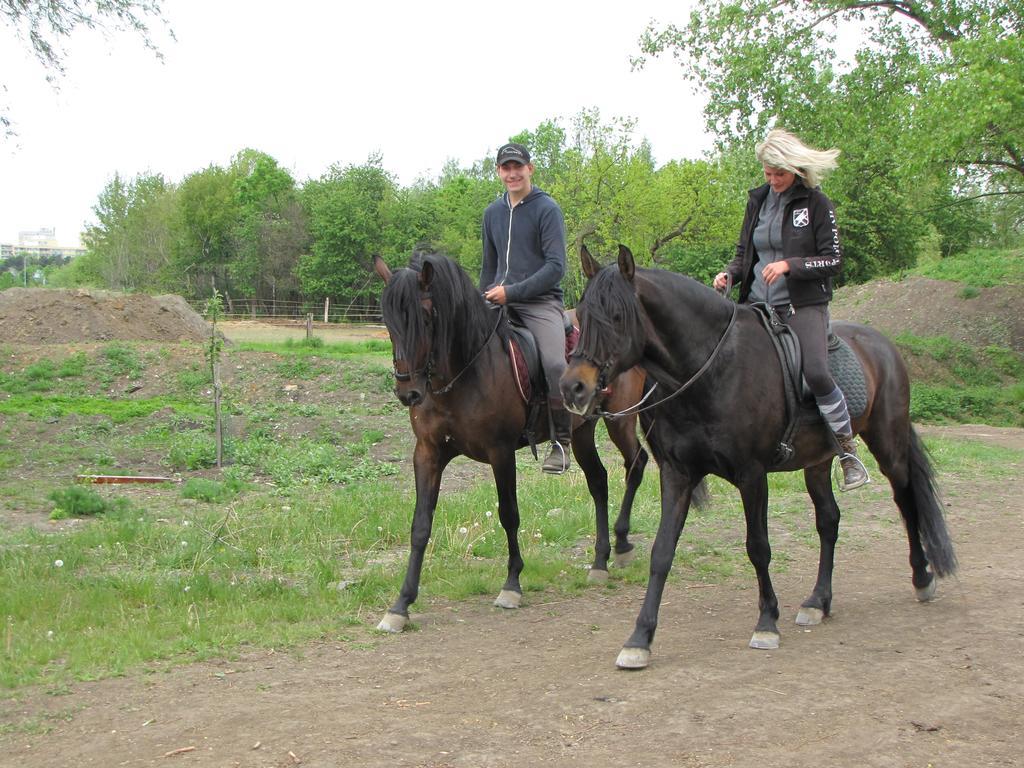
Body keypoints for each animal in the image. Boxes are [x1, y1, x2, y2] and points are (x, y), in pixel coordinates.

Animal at [372, 249, 651, 634]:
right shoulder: (427, 453)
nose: (408, 392)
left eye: (426, 317)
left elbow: (509, 515)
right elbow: (420, 525)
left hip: (621, 420)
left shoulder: (501, 452)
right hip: (582, 432)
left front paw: (512, 585)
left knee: (635, 465)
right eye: (388, 320)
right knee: (599, 481)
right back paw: (599, 562)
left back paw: (622, 544)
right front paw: (401, 604)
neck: (464, 372)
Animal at [557, 244, 954, 667]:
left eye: (616, 317)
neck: (710, 370)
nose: (573, 387)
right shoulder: (678, 474)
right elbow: (662, 552)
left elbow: (758, 548)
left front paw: (766, 622)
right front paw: (640, 638)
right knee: (829, 521)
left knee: (906, 501)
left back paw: (922, 577)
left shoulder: (752, 475)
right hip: (818, 462)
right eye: (582, 315)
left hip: (887, 444)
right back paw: (819, 601)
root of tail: (883, 345)